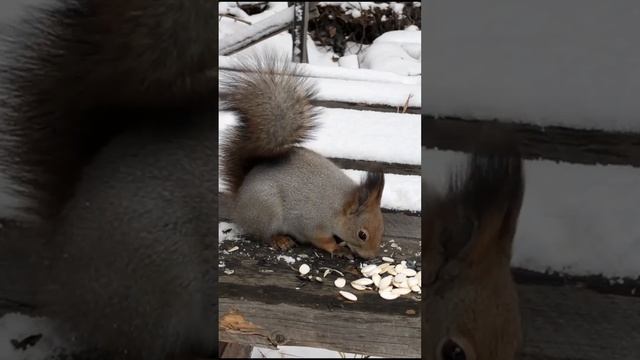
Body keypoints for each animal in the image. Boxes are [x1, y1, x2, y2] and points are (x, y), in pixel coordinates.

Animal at [220, 55, 384, 258]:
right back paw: (279, 239)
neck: (338, 205)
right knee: (262, 234)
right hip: (266, 210)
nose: (370, 257)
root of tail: (239, 202)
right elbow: (321, 239)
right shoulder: (310, 223)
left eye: (382, 229)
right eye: (362, 234)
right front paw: (337, 248)